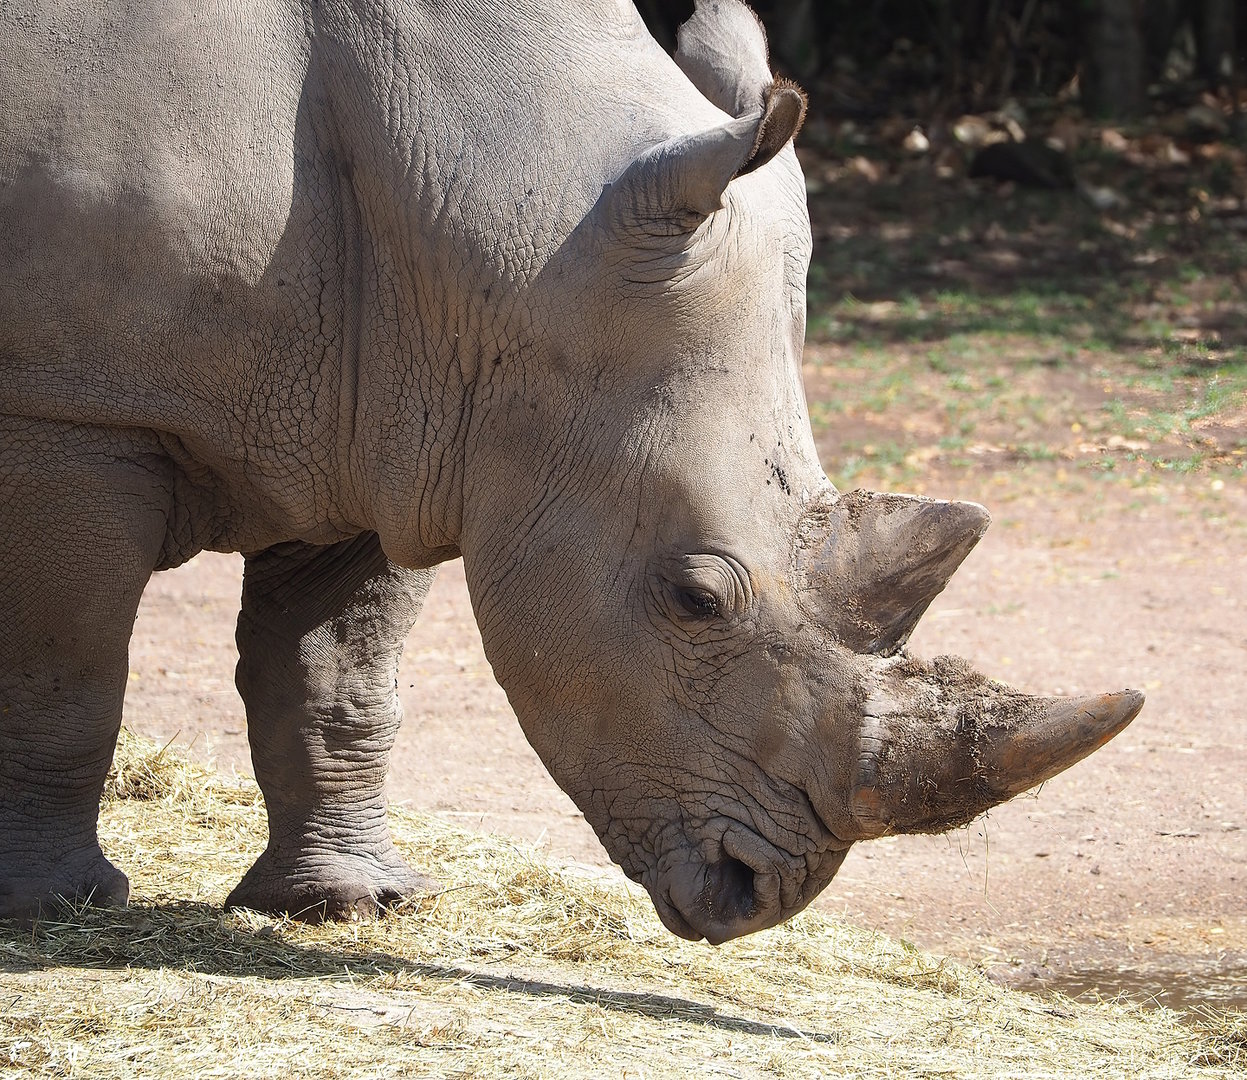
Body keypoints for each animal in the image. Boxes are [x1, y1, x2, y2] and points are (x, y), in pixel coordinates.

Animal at [0, 0, 1142, 943]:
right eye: (693, 599)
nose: (753, 896)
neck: (498, 219)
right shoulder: (69, 410)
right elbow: (66, 669)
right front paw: (56, 907)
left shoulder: (395, 419)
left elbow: (335, 678)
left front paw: (350, 904)